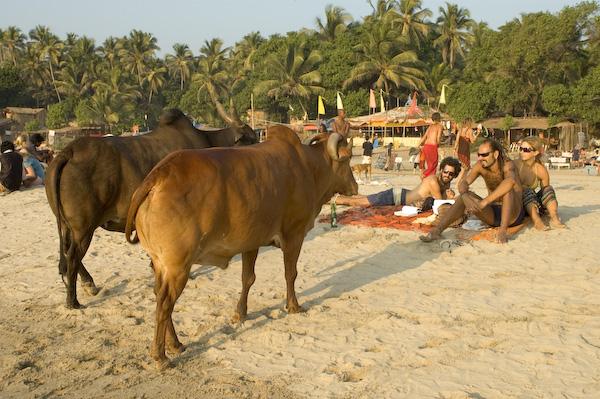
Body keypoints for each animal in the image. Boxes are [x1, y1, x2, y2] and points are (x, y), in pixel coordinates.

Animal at [44, 108, 255, 310]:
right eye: (251, 139)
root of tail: (69, 151)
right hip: (84, 227)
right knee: (72, 256)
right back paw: (73, 301)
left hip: (67, 225)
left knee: (66, 253)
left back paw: (87, 284)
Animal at [122, 128, 356, 368]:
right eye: (348, 158)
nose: (355, 187)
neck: (308, 167)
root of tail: (158, 174)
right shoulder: (294, 235)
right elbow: (290, 274)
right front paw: (293, 306)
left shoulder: (251, 243)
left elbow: (248, 278)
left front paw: (240, 313)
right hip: (178, 267)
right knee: (164, 303)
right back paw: (160, 355)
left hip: (160, 264)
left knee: (158, 295)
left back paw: (175, 344)